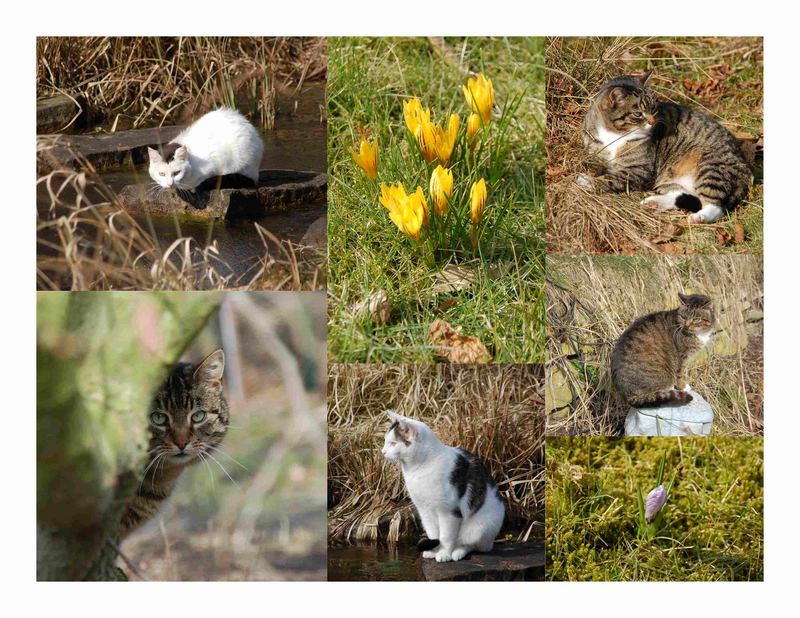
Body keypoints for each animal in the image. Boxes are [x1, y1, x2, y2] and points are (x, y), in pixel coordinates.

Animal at [380, 412, 504, 560]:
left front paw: (444, 554)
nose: (382, 451)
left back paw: (457, 553)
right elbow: (433, 533)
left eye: (393, 443)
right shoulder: (425, 510)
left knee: (472, 544)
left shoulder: (448, 512)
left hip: (479, 527)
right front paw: (434, 551)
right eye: (386, 441)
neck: (418, 469)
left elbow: (446, 536)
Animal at [580, 71, 752, 224]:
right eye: (638, 114)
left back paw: (698, 218)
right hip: (670, 178)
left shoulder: (639, 170)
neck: (614, 134)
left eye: (653, 108)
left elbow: (612, 178)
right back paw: (654, 203)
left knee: (716, 206)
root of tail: (746, 170)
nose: (652, 122)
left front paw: (589, 182)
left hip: (711, 166)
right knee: (683, 195)